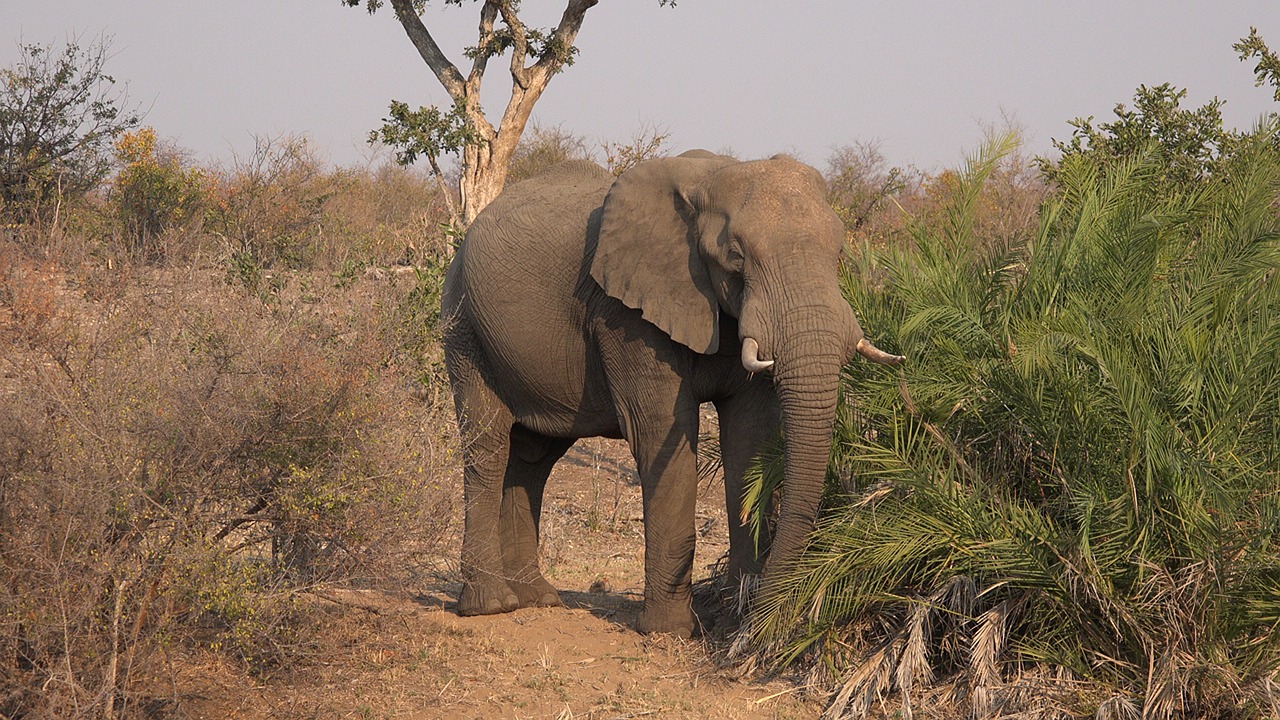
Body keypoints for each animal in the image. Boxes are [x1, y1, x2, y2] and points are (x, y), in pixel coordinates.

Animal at [440, 148, 901, 635]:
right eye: (735, 257)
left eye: (839, 251)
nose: (767, 611)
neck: (712, 175)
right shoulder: (625, 313)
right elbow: (662, 431)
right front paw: (671, 630)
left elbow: (751, 438)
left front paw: (736, 619)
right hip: (464, 325)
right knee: (488, 446)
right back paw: (490, 605)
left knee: (533, 457)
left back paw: (538, 599)